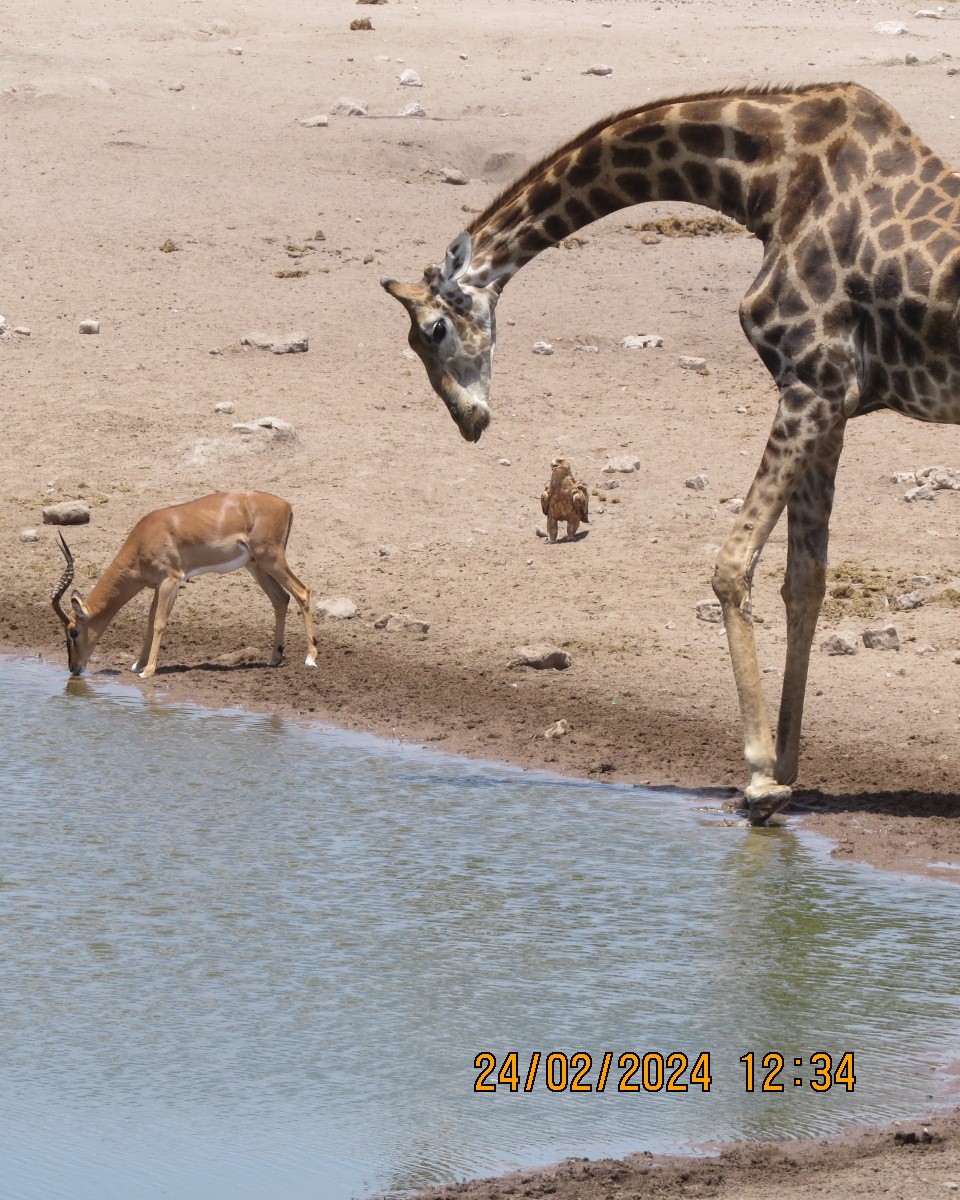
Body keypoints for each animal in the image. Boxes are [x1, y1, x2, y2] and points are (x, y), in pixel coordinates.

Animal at [381, 79, 960, 820]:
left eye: (433, 331)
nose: (468, 420)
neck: (769, 182)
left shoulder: (813, 380)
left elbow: (733, 566)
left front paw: (758, 775)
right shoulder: (833, 401)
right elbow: (804, 580)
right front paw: (787, 769)